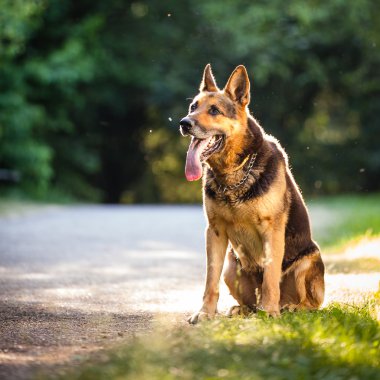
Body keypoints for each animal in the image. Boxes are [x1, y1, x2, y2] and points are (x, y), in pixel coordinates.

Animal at [180, 64, 326, 324]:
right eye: (193, 107)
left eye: (215, 110)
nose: (184, 123)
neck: (233, 175)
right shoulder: (215, 232)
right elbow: (210, 281)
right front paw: (205, 312)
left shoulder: (272, 231)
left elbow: (270, 277)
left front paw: (269, 312)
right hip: (231, 265)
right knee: (248, 300)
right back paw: (244, 309)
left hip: (307, 261)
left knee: (309, 303)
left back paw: (288, 307)